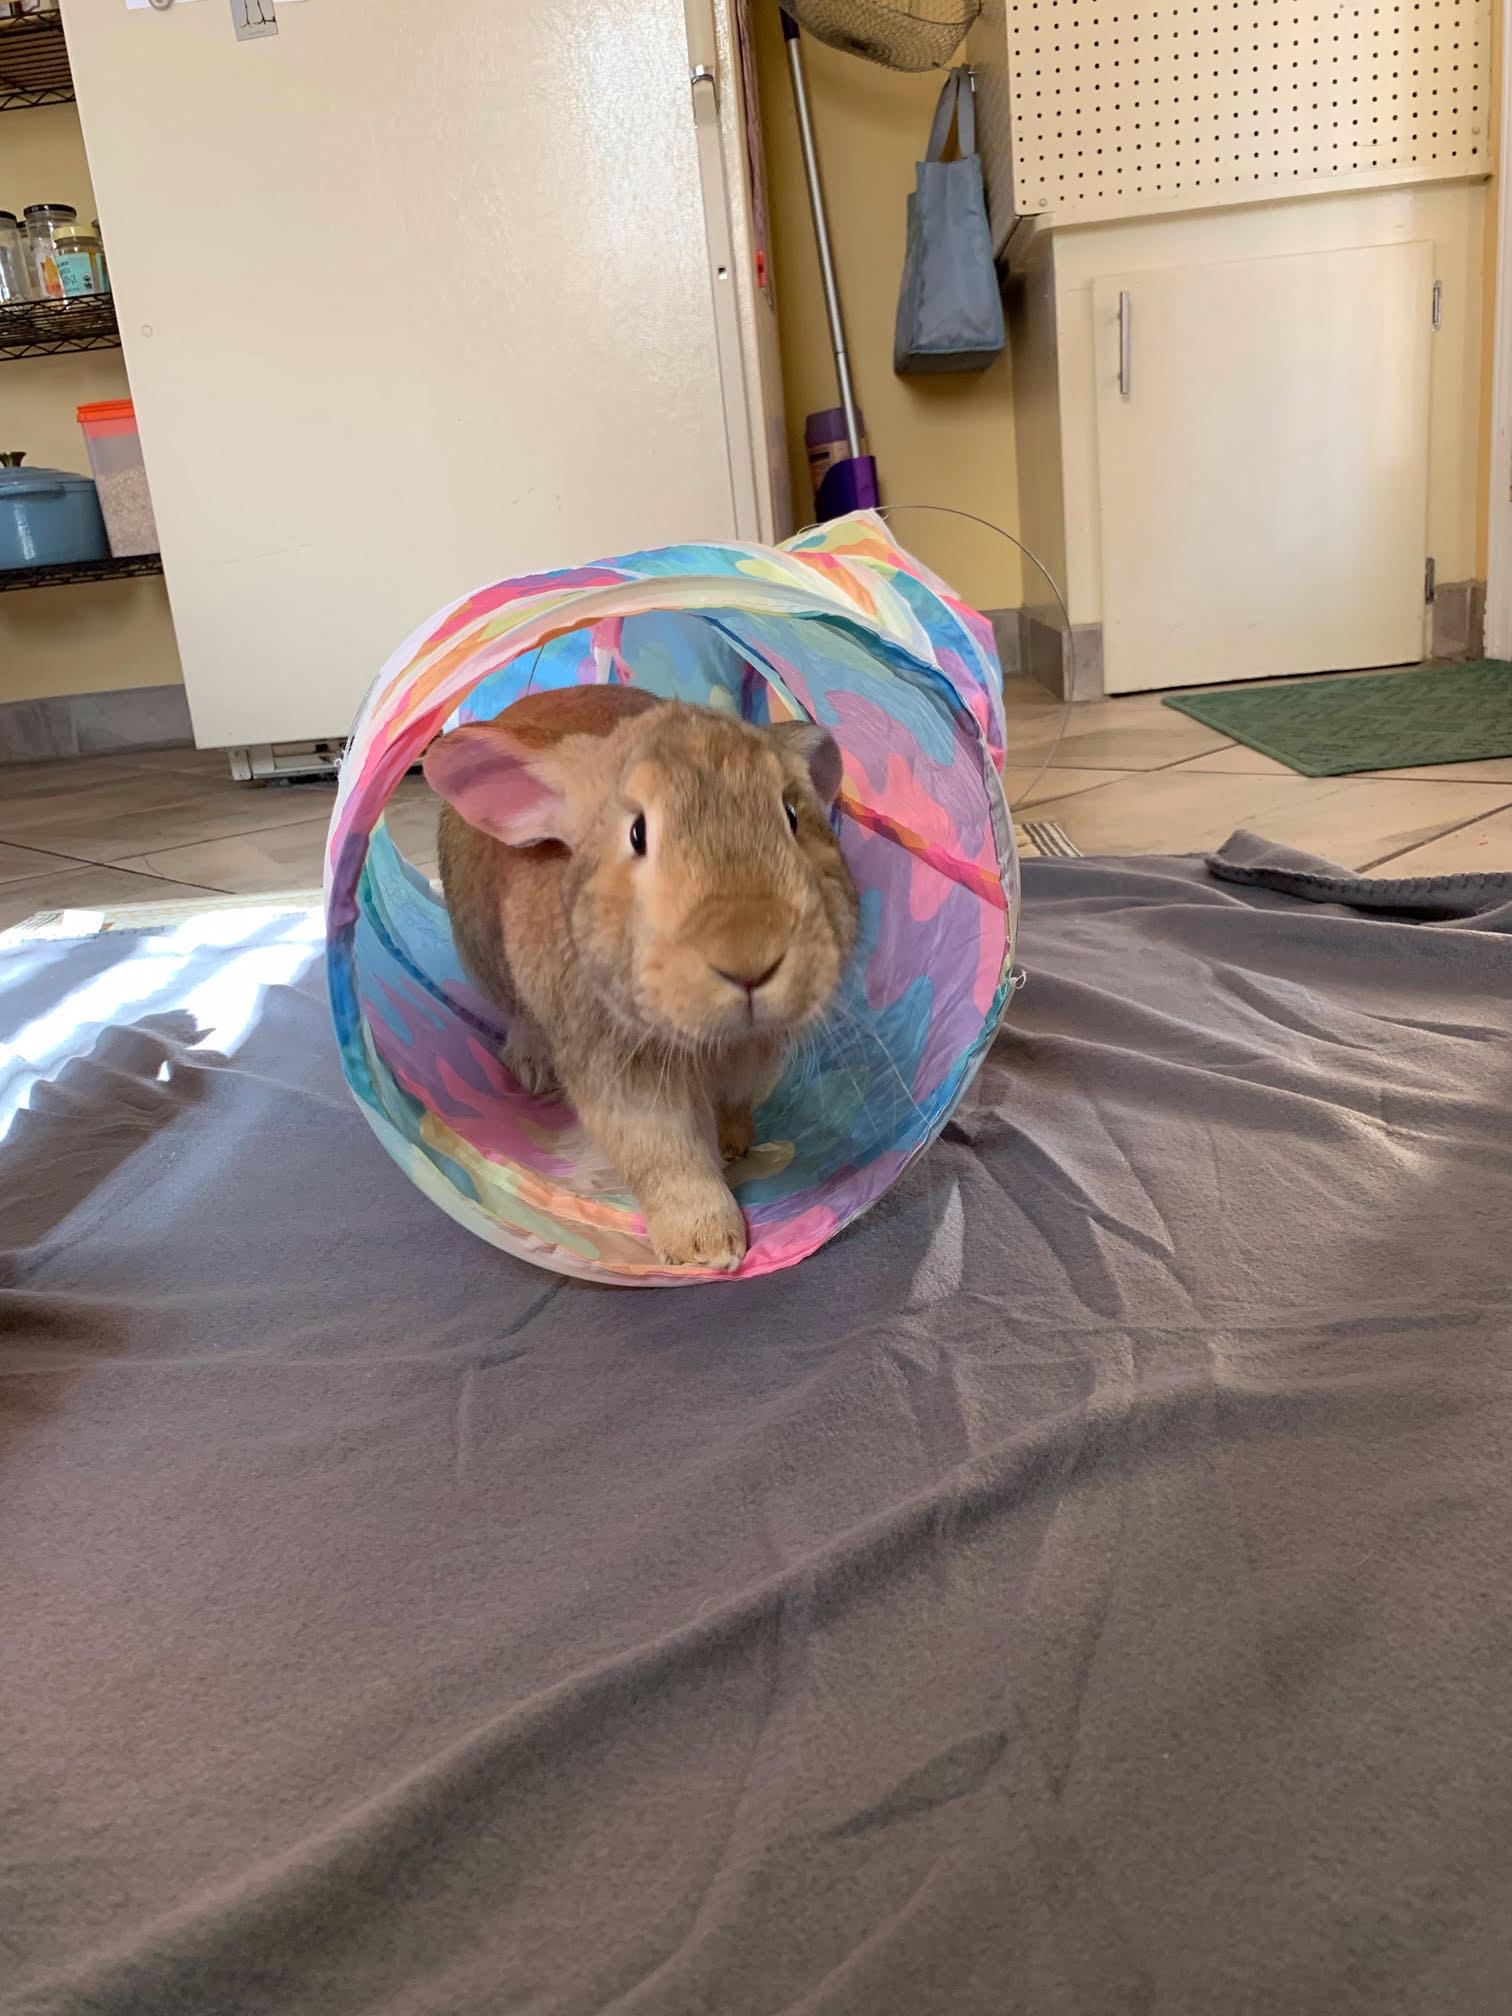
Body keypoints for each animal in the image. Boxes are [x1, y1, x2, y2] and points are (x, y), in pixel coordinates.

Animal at [424, 682, 859, 1271]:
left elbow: (734, 1104)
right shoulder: (620, 1076)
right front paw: (707, 1250)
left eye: (792, 815)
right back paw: (533, 1067)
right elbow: (665, 1157)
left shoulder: (756, 1059)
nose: (750, 959)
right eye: (637, 834)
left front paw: (734, 1145)